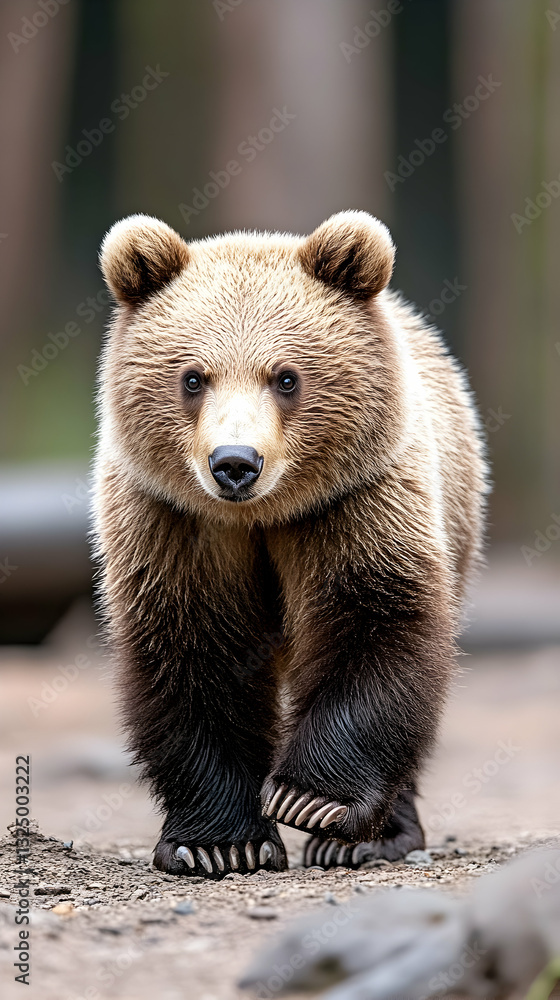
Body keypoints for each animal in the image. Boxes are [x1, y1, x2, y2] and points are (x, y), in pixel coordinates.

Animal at [93, 210, 487, 879]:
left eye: (285, 377)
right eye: (193, 377)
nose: (235, 463)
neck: (262, 517)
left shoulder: (354, 504)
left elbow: (376, 625)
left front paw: (312, 801)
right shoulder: (176, 524)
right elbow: (194, 653)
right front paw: (220, 843)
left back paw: (373, 837)